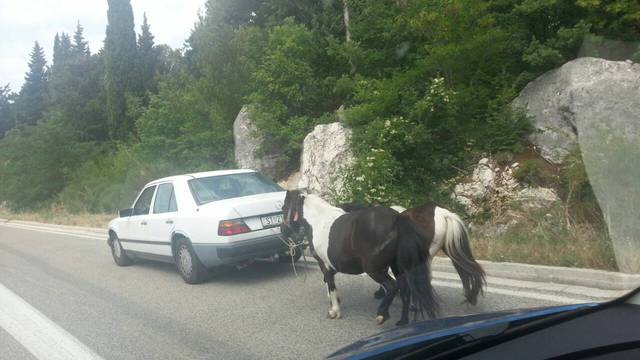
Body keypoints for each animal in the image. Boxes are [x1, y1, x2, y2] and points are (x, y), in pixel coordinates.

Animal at [282, 190, 438, 324]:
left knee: (392, 286)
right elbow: (330, 285)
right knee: (404, 289)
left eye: (283, 208)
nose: (284, 231)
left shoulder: (324, 265)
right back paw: (402, 321)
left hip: (373, 269)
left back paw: (382, 314)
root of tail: (397, 218)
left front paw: (334, 311)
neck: (318, 221)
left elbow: (330, 284)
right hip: (396, 266)